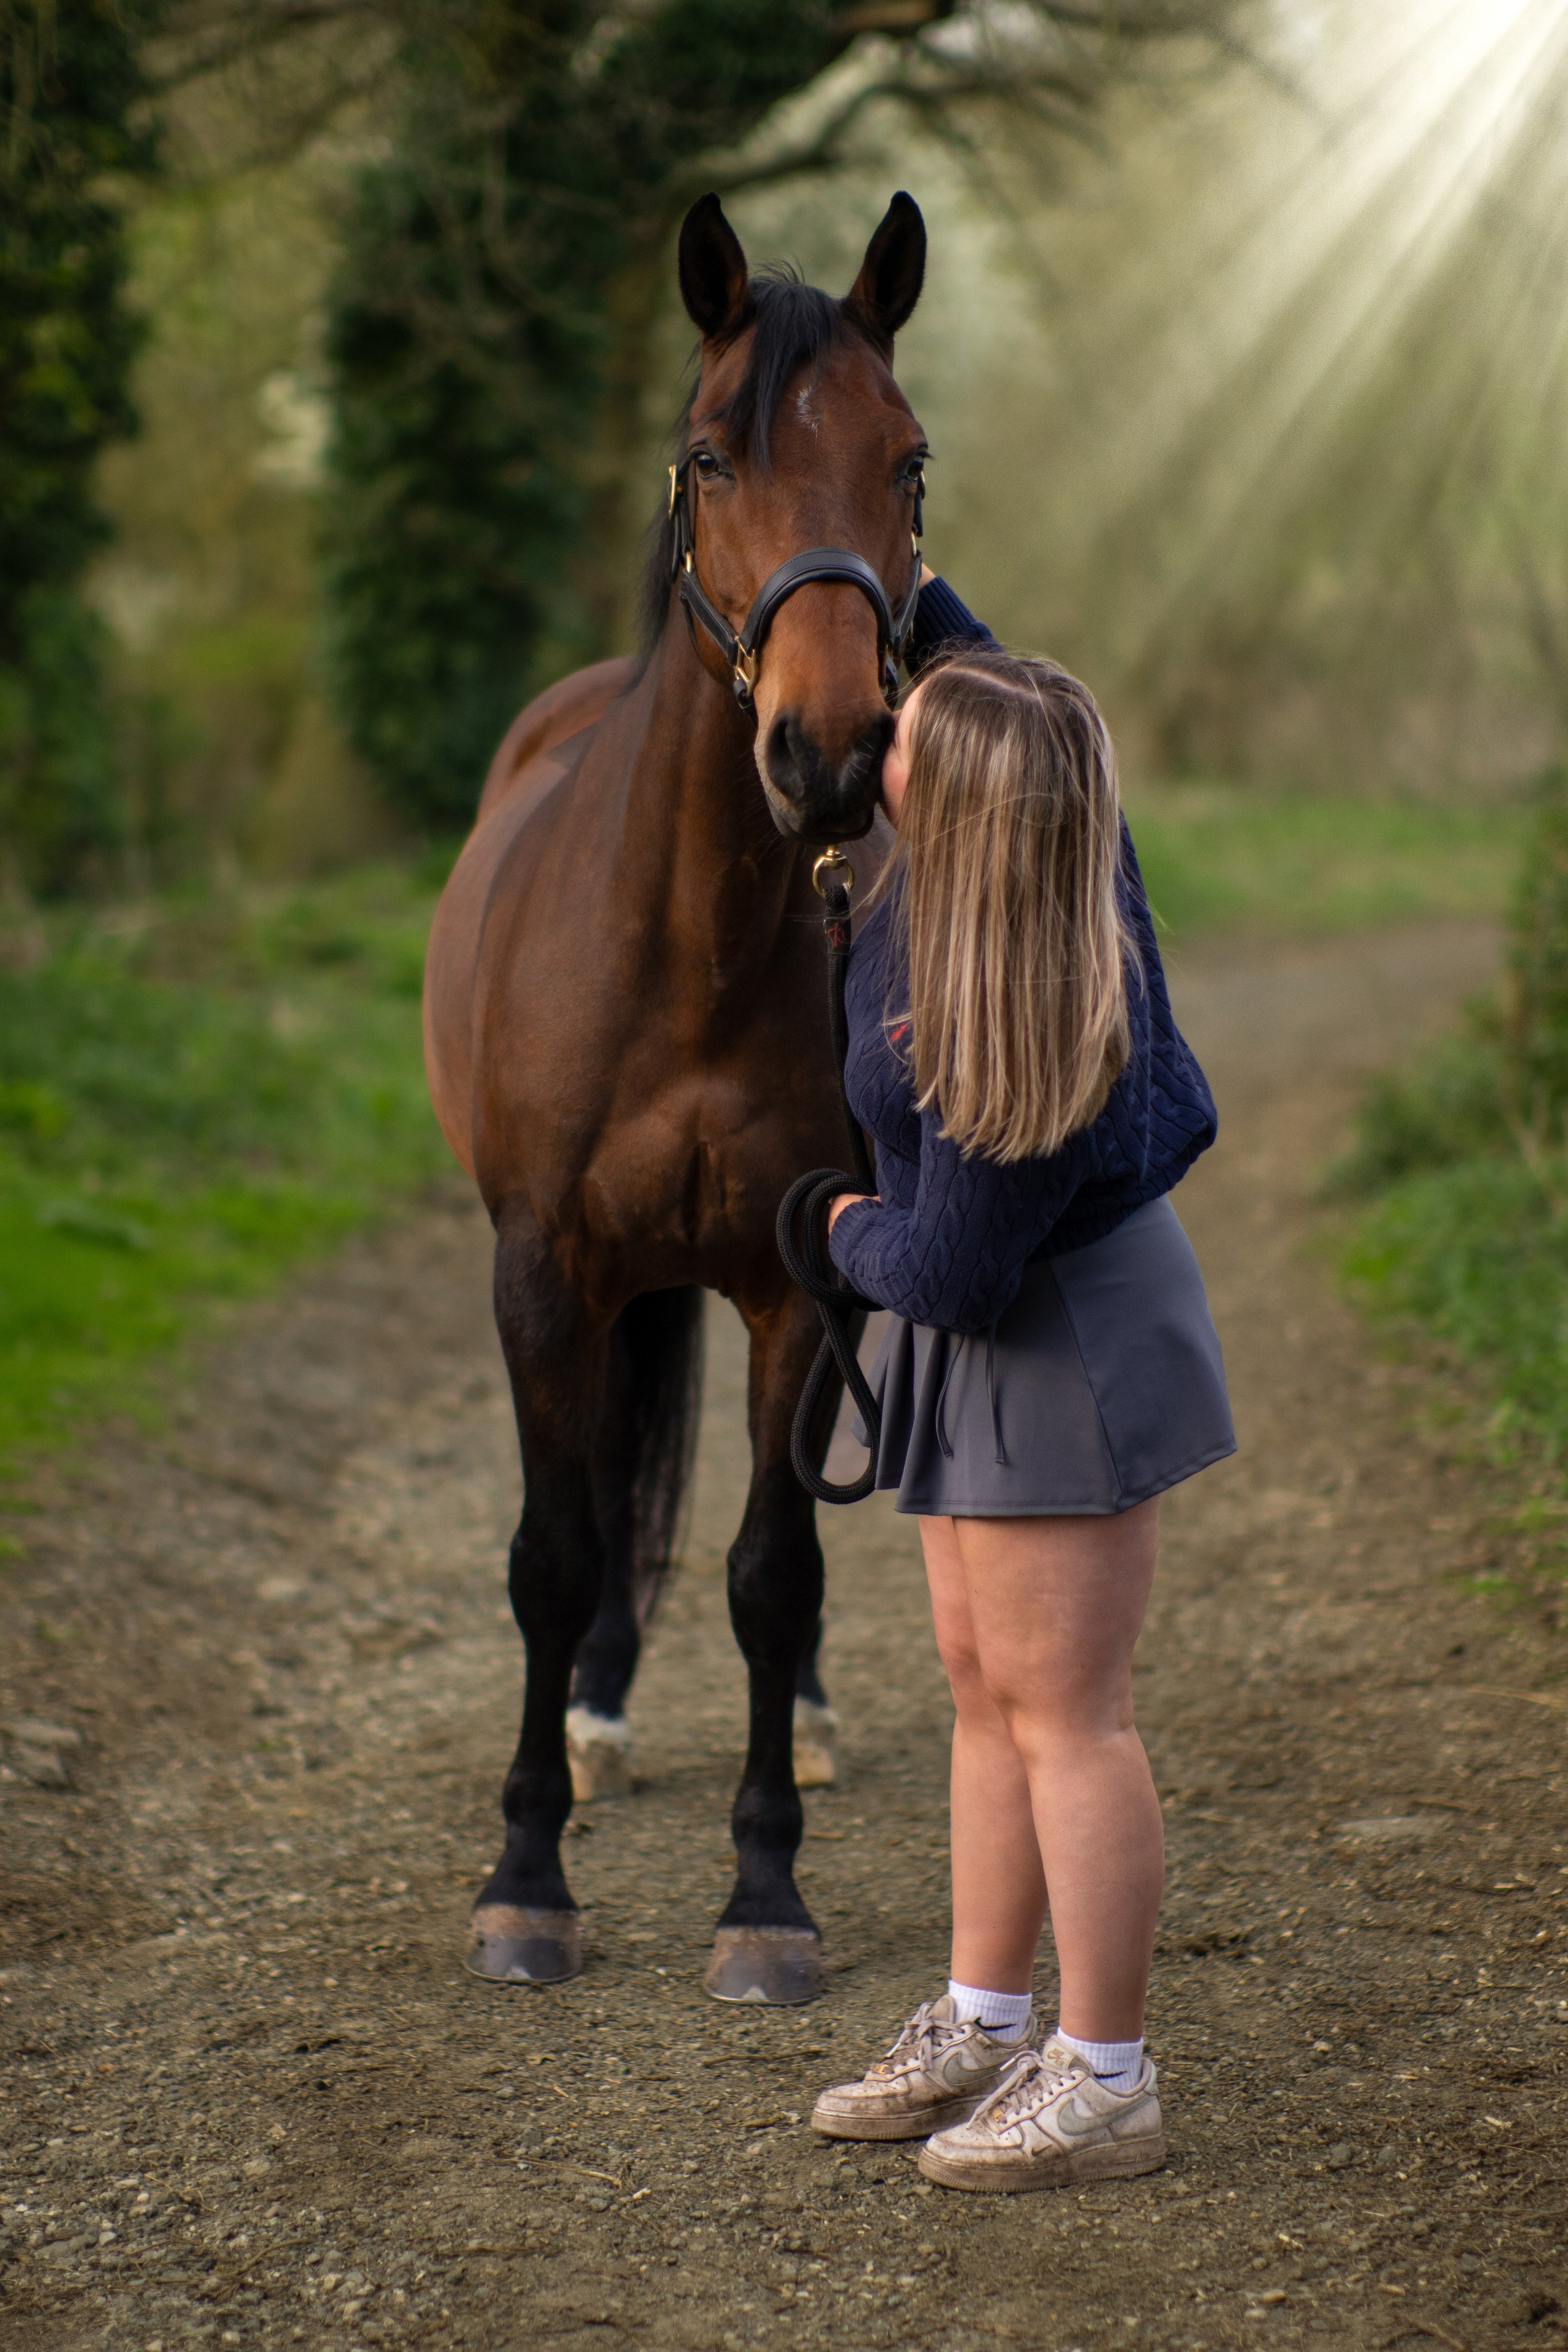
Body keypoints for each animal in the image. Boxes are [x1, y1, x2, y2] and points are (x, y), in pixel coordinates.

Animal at [423, 188, 928, 2004]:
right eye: (711, 456)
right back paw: (593, 1714)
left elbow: (771, 1572)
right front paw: (523, 1879)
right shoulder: (539, 1272)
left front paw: (765, 1898)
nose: (827, 753)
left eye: (908, 462)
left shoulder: (796, 1280)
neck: (686, 942)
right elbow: (552, 1553)